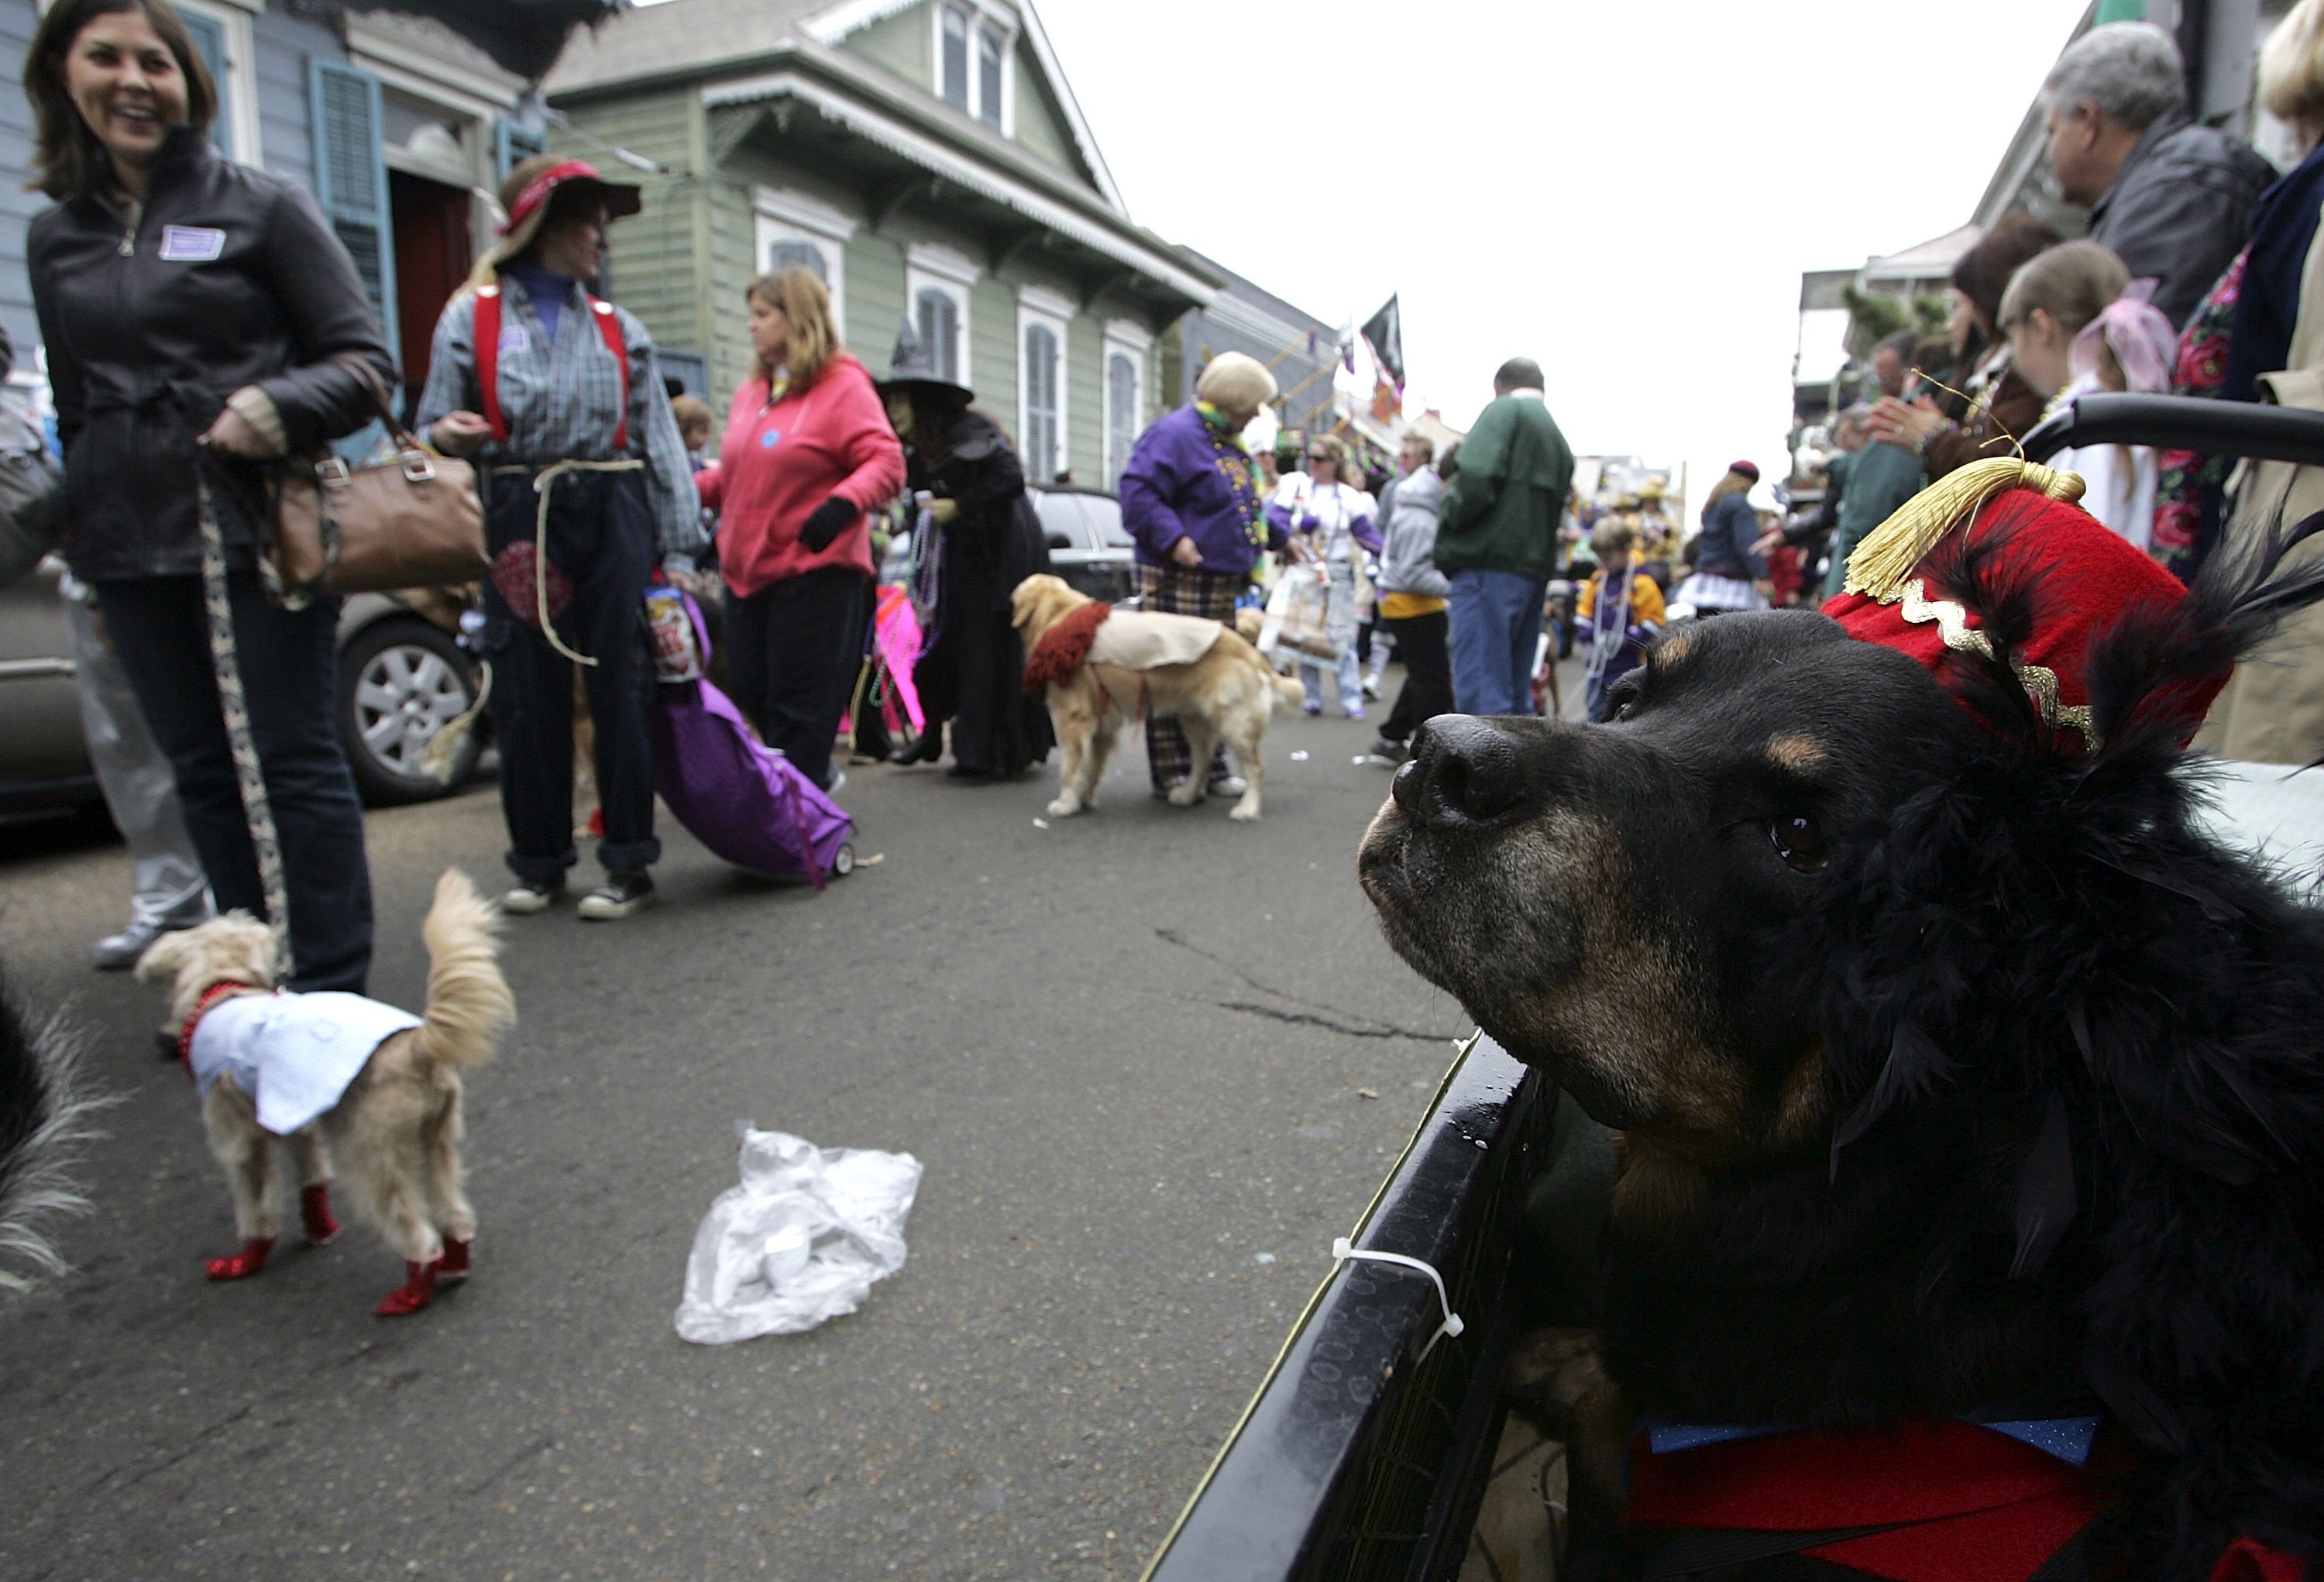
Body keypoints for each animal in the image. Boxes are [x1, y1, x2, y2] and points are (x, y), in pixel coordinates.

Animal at [139, 868, 518, 1310]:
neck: (223, 990)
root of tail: (417, 1046)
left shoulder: (241, 1141)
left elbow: (256, 1204)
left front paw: (247, 1259)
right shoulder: (297, 1122)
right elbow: (312, 1178)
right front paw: (319, 1230)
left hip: (372, 1159)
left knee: (416, 1232)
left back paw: (411, 1295)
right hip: (437, 1144)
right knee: (453, 1214)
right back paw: (454, 1267)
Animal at [1018, 571, 1311, 822]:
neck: (1059, 615)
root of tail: (1253, 653)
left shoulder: (1071, 719)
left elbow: (1070, 767)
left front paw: (1066, 803)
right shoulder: (1101, 726)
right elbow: (1092, 767)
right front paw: (1084, 799)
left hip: (1235, 722)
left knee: (1255, 767)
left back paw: (1247, 809)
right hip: (1194, 718)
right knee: (1203, 759)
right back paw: (1187, 794)